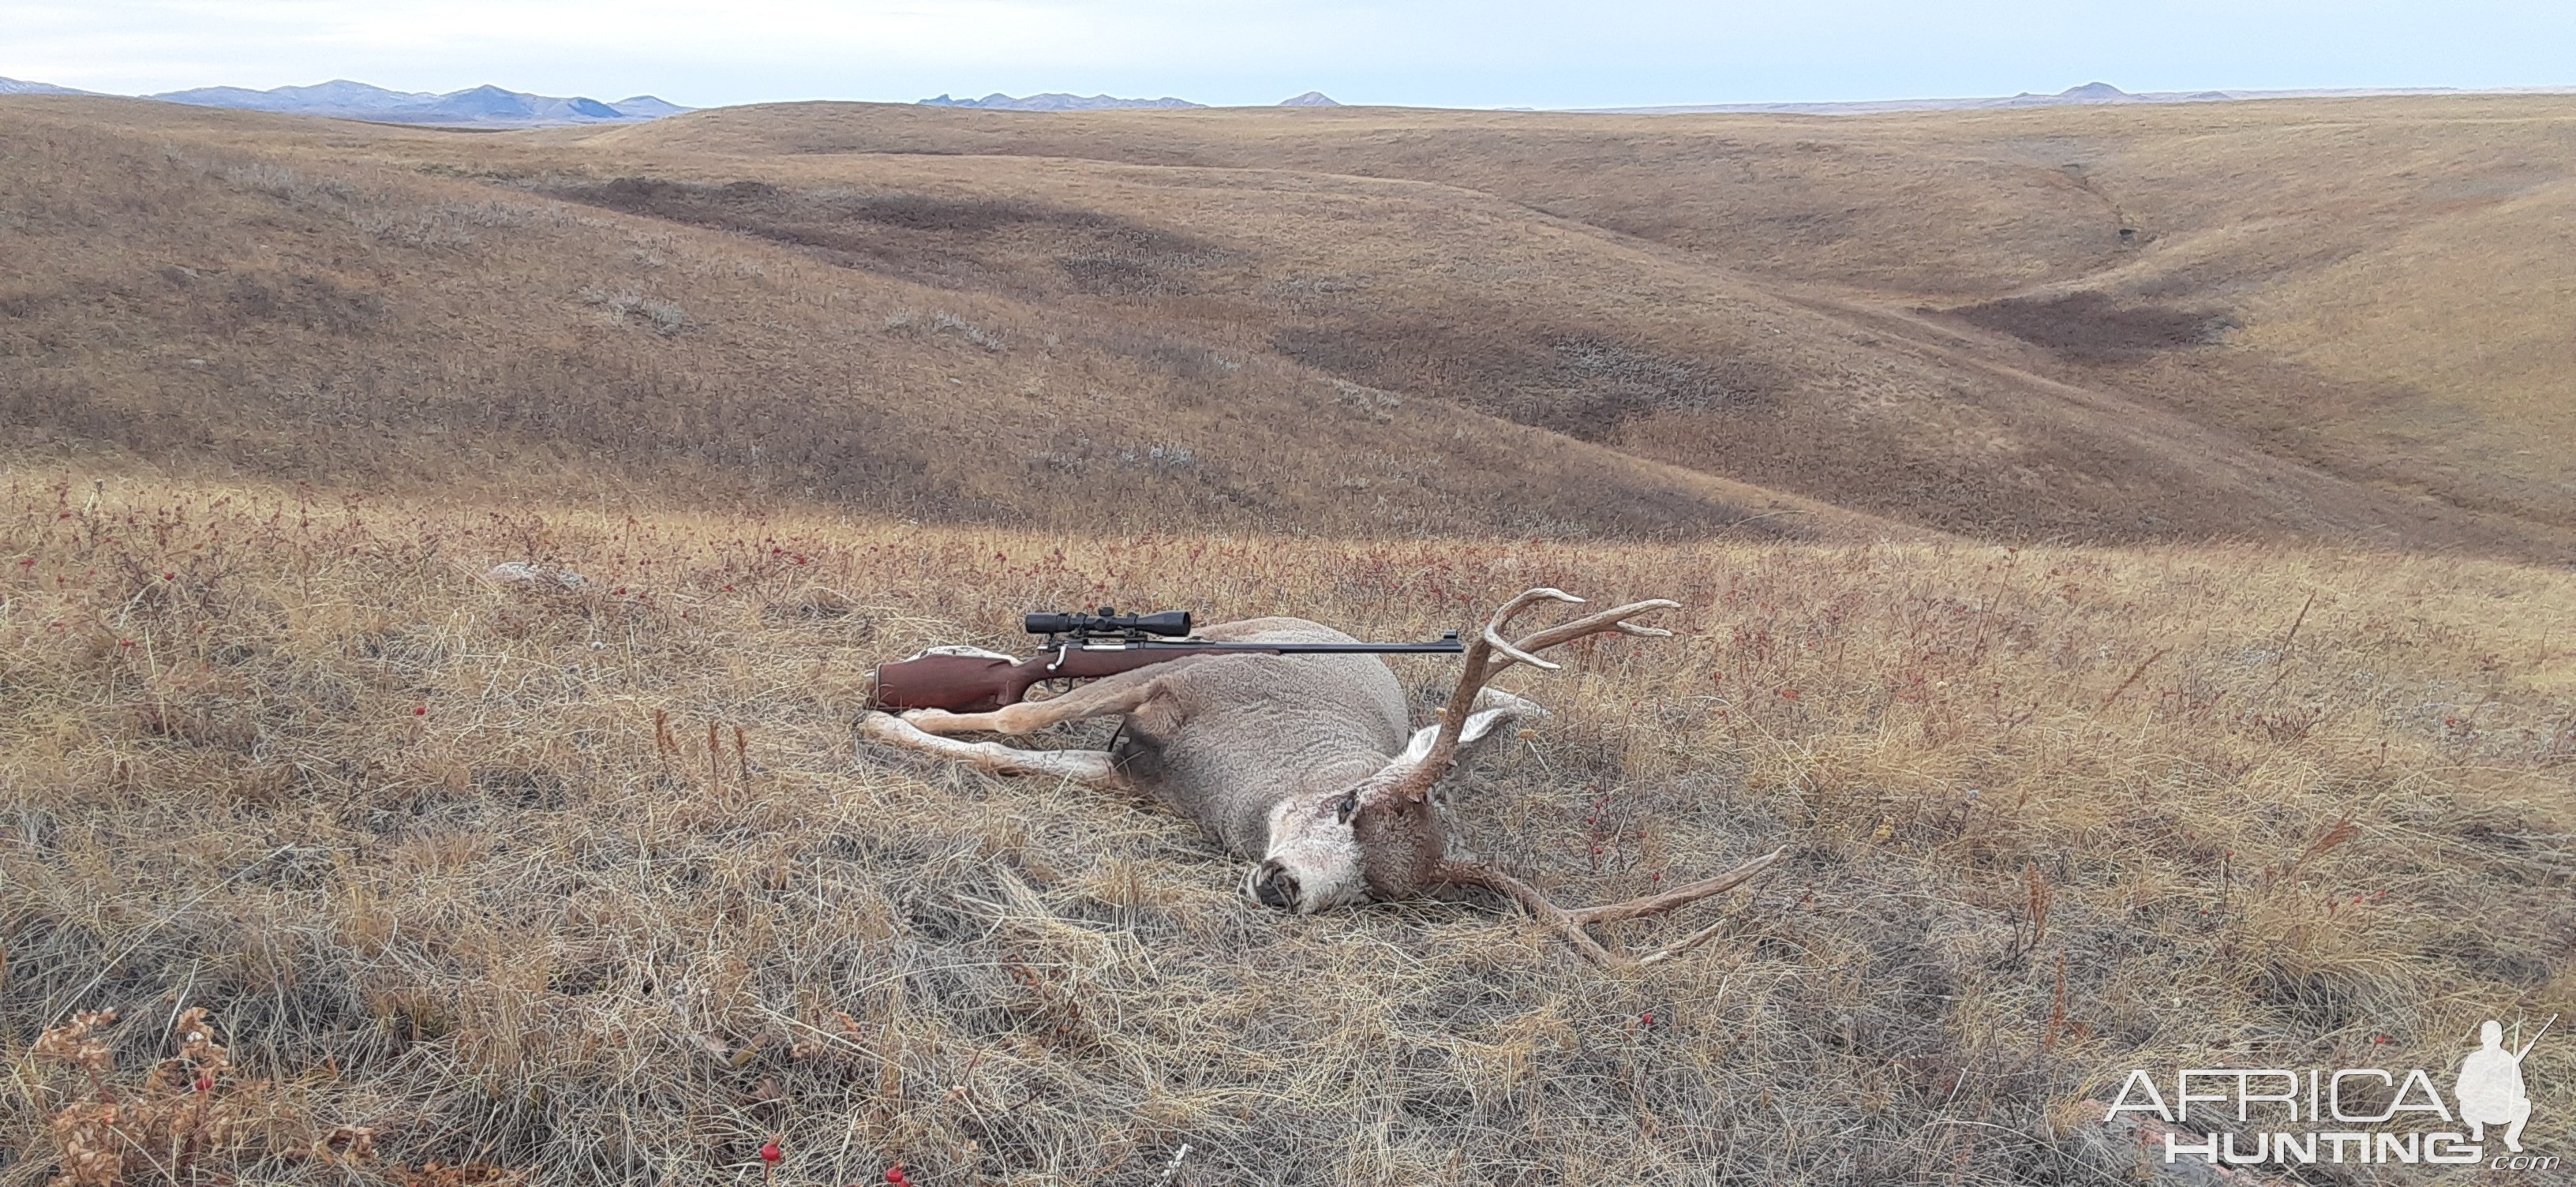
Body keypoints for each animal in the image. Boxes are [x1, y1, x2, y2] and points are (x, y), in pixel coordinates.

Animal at [855, 582, 1782, 963]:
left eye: (1378, 891)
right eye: (1346, 803)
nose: (1284, 886)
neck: (1229, 782)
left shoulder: (1129, 775)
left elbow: (1010, 750)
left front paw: (900, 721)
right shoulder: (1175, 679)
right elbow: (1016, 715)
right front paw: (891, 715)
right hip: (1206, 640)